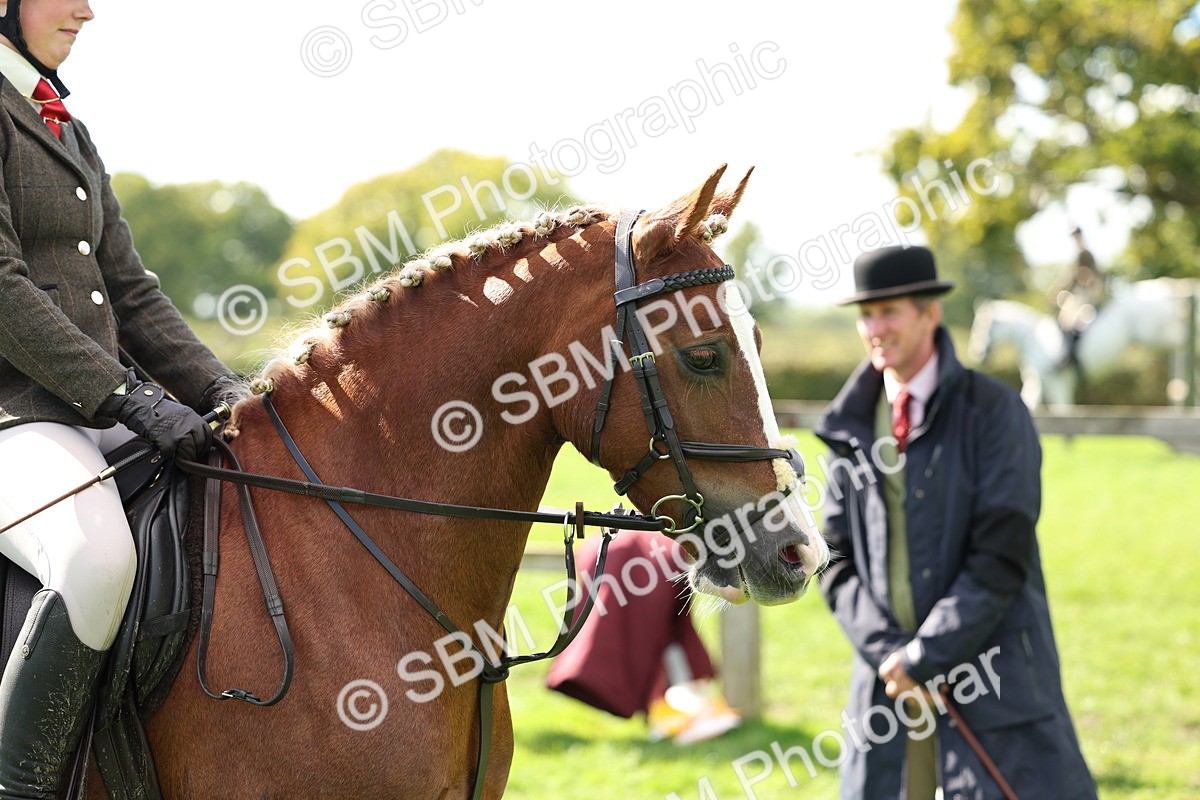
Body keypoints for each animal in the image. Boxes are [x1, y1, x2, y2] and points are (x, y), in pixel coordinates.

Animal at [968, 278, 1195, 409]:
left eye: (981, 327)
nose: (977, 354)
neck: (1033, 340)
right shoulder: (1039, 382)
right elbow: (1030, 403)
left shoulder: (1059, 383)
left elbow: (1064, 409)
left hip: (1156, 334)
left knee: (1183, 337)